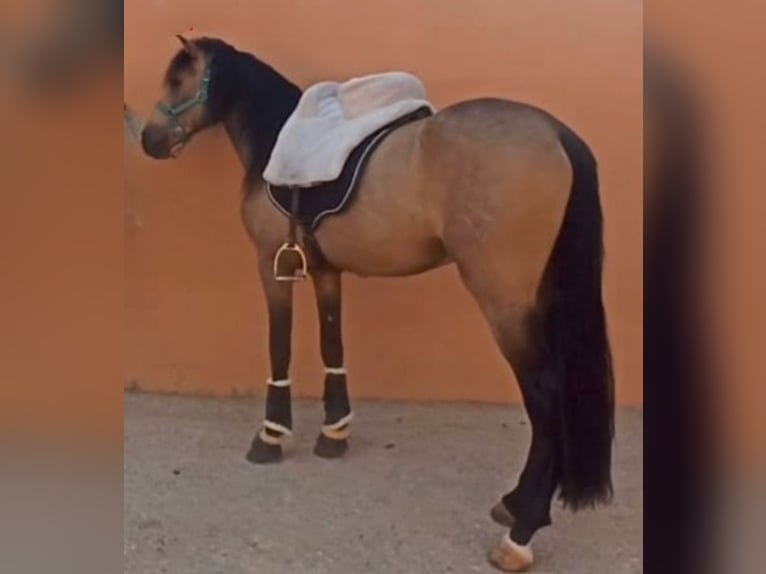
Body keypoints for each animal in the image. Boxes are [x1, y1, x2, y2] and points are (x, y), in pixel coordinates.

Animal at [140, 35, 615, 572]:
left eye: (179, 79)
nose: (149, 139)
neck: (276, 142)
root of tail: (556, 134)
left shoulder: (272, 267)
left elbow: (280, 347)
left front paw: (271, 436)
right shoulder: (327, 272)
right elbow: (332, 344)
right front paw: (334, 435)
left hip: (505, 303)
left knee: (545, 392)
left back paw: (521, 531)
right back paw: (514, 503)